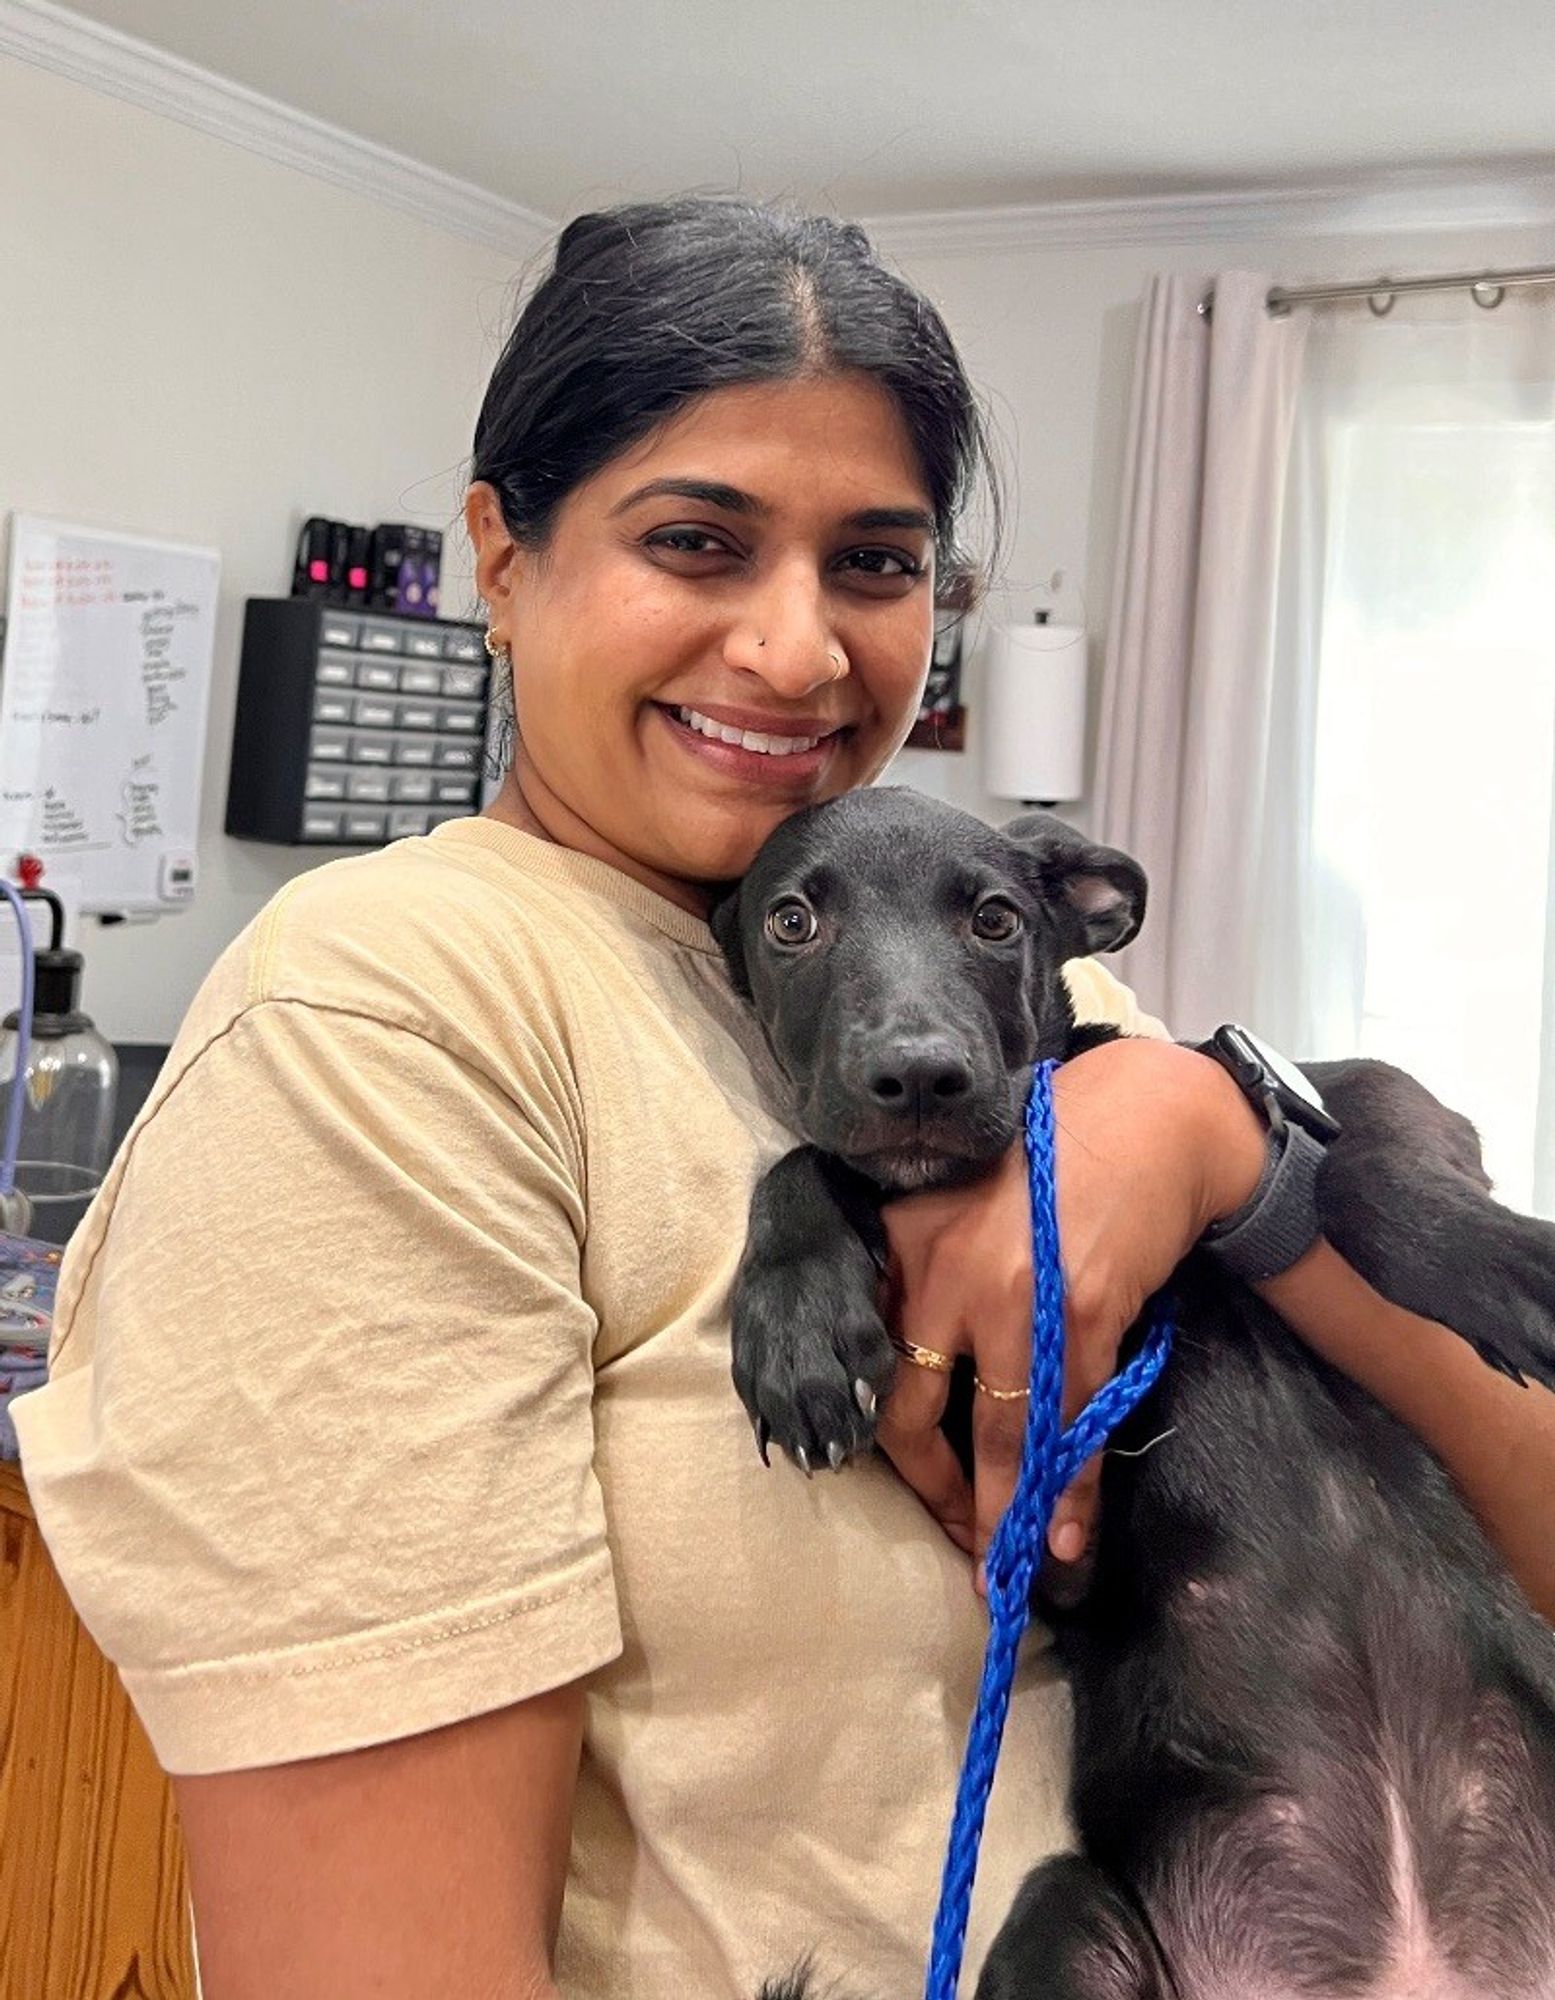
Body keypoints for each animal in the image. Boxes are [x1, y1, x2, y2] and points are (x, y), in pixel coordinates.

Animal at [711, 792, 1551, 2000]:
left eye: (995, 918)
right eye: (790, 921)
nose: (917, 1079)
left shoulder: (1352, 1091)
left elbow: (1354, 1163)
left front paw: (1505, 1262)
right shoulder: (1038, 1527)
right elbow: (814, 1162)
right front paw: (798, 1317)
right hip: (1073, 1917)